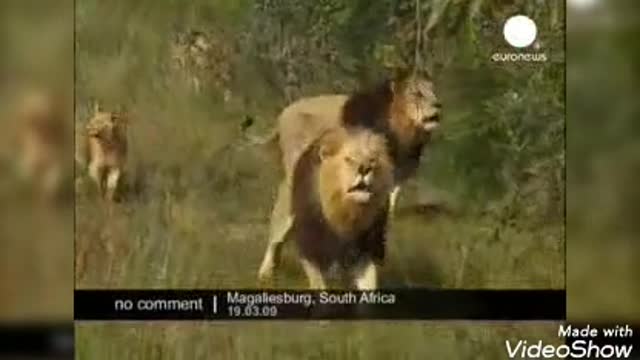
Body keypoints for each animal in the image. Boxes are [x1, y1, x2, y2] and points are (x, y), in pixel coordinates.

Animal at [288, 126, 390, 290]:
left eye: (372, 160)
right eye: (349, 159)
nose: (365, 168)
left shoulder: (364, 252)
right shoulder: (310, 249)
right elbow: (319, 285)